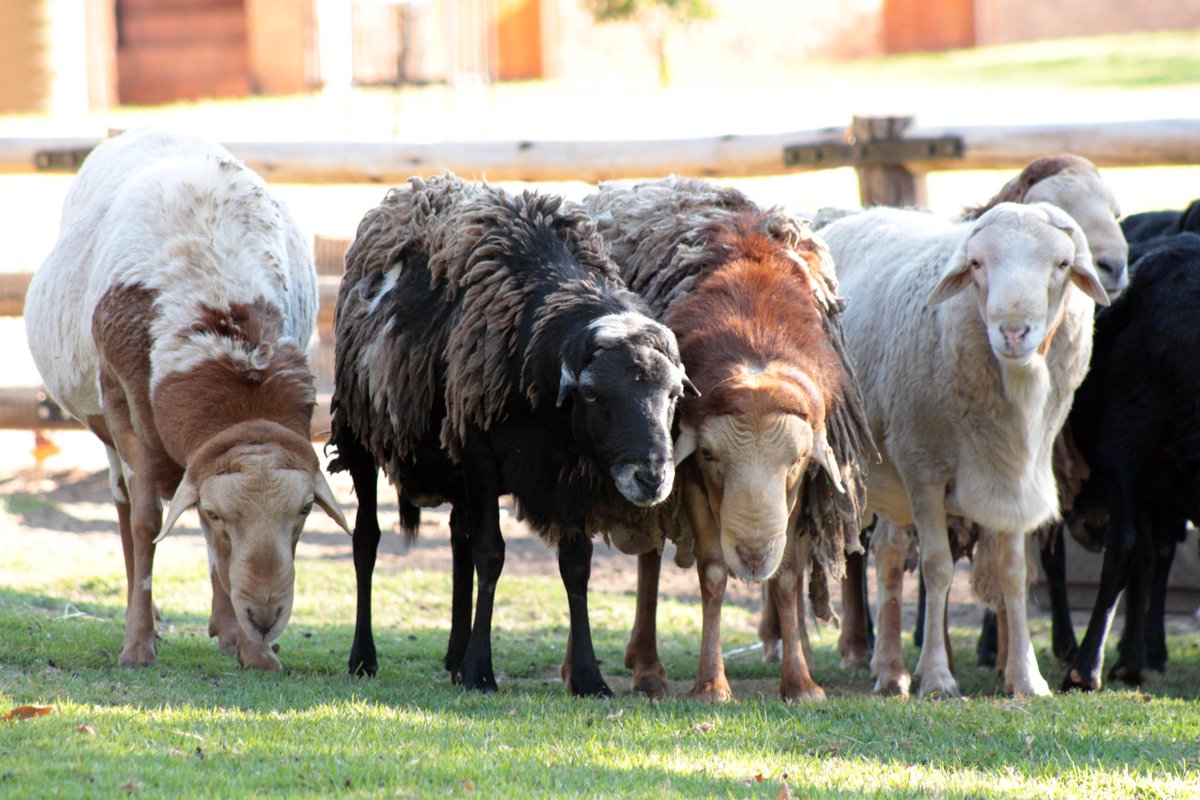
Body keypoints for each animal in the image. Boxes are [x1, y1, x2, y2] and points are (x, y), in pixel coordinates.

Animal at [23, 127, 350, 671]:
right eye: (221, 515)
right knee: (123, 504)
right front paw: (138, 644)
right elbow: (147, 522)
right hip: (101, 425)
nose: (265, 618)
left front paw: (252, 648)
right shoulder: (122, 404)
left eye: (305, 512)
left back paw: (225, 627)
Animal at [327, 174, 693, 697]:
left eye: (673, 394)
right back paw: (365, 658)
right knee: (367, 540)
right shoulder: (480, 455)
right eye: (593, 395)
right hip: (359, 434)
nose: (651, 477)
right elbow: (491, 554)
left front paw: (588, 677)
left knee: (457, 539)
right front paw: (481, 671)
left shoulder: (571, 472)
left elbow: (575, 564)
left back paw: (454, 657)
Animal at [582, 177, 872, 702]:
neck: (756, 326)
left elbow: (787, 576)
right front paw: (711, 684)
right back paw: (647, 666)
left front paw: (801, 683)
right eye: (711, 456)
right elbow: (713, 573)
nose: (753, 556)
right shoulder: (690, 476)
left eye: (798, 461)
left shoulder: (800, 495)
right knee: (650, 559)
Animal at [840, 153, 1131, 673]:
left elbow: (1011, 571)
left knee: (882, 551)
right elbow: (936, 568)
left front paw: (1020, 671)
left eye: (1062, 263)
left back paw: (888, 667)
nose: (1013, 331)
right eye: (976, 263)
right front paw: (938, 673)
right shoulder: (924, 468)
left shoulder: (1018, 472)